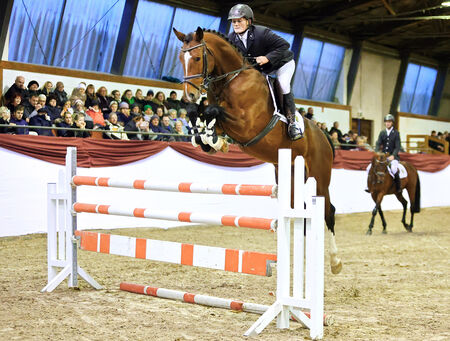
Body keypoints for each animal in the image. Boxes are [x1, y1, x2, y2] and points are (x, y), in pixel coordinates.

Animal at [172, 25, 342, 274]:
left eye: (196, 58)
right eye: (180, 59)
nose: (189, 95)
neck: (230, 79)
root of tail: (323, 135)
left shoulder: (246, 125)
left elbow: (213, 111)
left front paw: (213, 140)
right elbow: (201, 113)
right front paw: (207, 140)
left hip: (320, 177)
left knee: (328, 211)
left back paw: (335, 262)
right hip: (290, 176)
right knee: (301, 212)